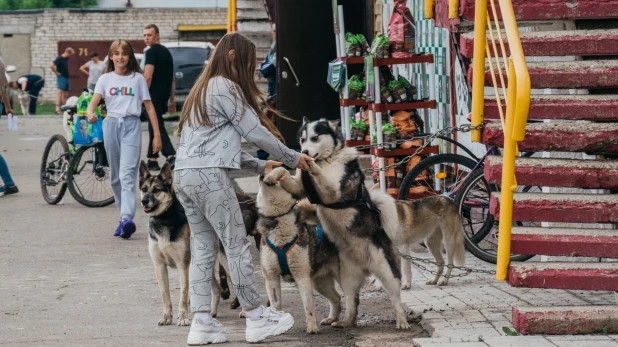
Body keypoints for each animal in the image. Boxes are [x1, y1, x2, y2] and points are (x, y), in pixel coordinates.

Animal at [255, 175, 342, 336]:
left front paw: (312, 327)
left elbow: (308, 305)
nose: (261, 175)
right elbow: (276, 305)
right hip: (320, 282)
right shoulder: (271, 277)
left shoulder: (301, 276)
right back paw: (332, 318)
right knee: (336, 297)